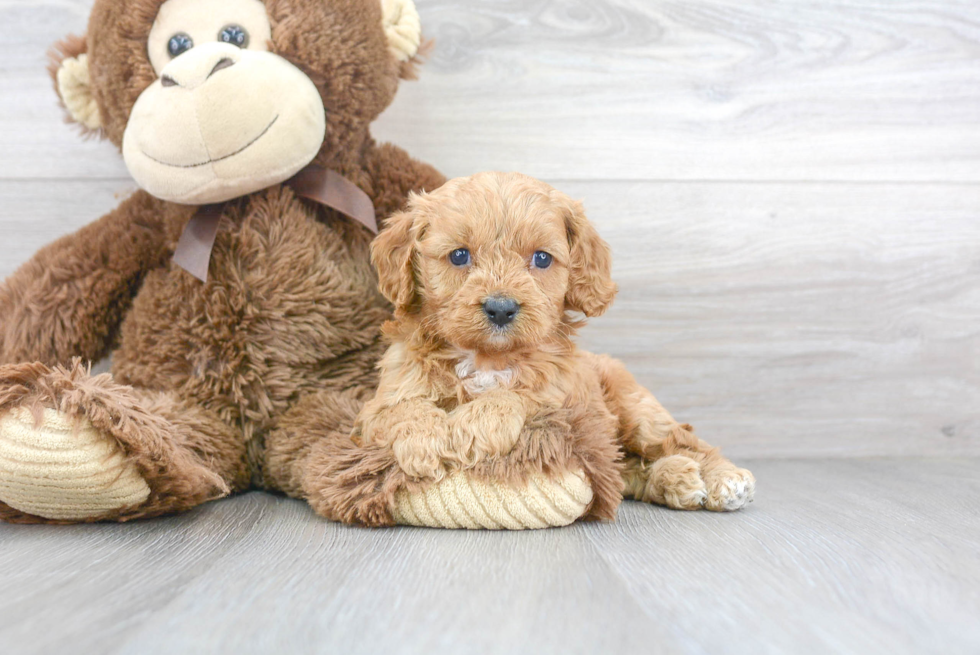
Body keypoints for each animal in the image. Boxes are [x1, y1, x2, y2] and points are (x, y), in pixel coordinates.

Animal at [310, 172, 756, 524]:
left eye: (542, 259)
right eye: (459, 255)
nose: (501, 308)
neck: (487, 358)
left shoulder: (564, 399)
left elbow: (519, 395)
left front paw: (472, 427)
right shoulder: (377, 405)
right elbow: (403, 409)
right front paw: (425, 444)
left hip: (638, 411)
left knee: (681, 440)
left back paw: (723, 479)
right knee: (625, 469)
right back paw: (677, 479)